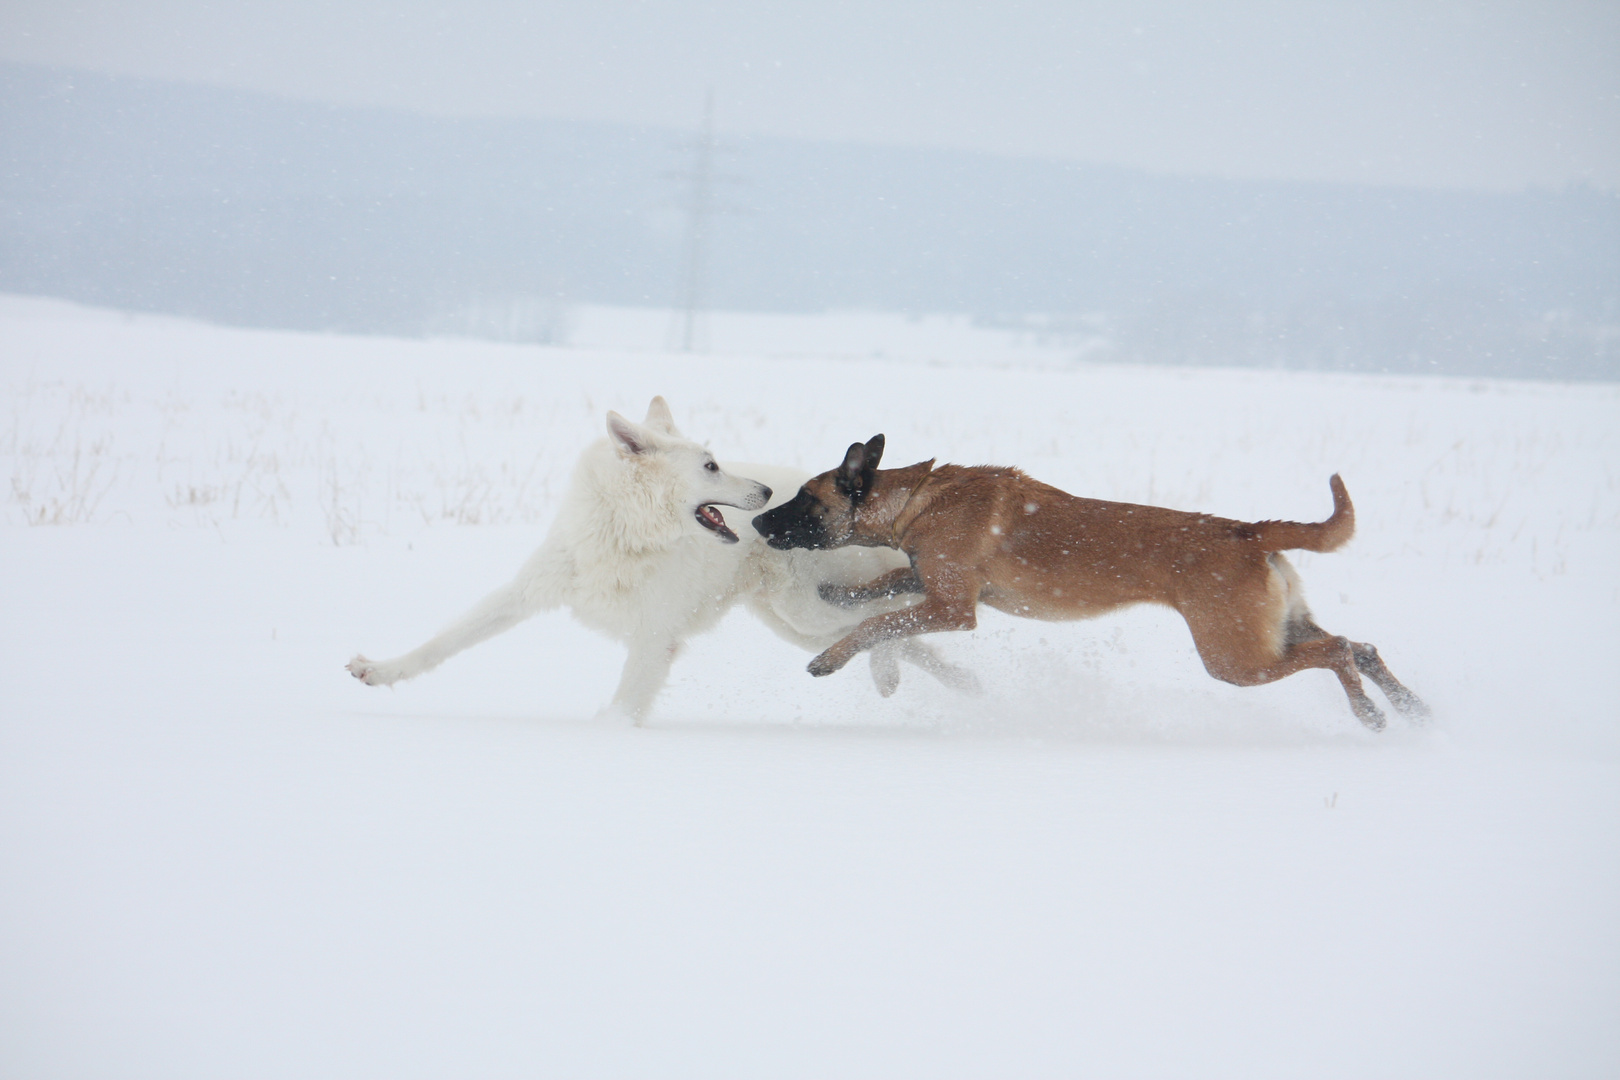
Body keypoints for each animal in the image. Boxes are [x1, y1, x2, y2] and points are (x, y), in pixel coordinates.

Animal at [346, 393, 965, 722]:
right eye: (710, 466)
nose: (766, 494)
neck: (629, 533)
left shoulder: (654, 639)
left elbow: (623, 706)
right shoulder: (523, 594)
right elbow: (442, 643)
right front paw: (380, 671)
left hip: (810, 612)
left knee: (890, 621)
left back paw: (908, 676)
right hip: (796, 626)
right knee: (899, 635)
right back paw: (961, 686)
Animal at [751, 433, 1425, 731]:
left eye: (803, 500)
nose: (756, 520)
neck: (918, 498)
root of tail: (1248, 532)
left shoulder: (953, 609)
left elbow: (879, 622)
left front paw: (832, 656)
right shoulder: (932, 583)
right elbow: (887, 585)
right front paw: (841, 592)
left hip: (1236, 657)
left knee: (1339, 651)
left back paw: (1371, 713)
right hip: (1277, 630)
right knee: (1360, 645)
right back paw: (1411, 707)